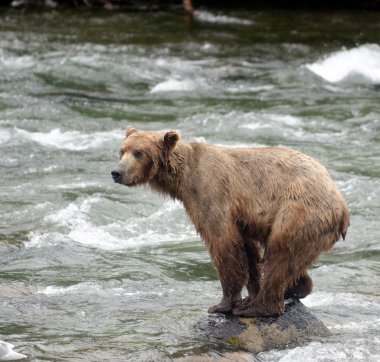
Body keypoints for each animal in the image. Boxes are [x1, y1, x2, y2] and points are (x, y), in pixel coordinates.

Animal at [111, 128, 348, 316]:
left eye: (139, 153)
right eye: (122, 151)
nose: (116, 172)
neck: (182, 178)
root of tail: (342, 206)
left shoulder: (212, 192)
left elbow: (223, 243)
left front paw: (223, 304)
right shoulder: (241, 217)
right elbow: (247, 250)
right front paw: (249, 293)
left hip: (299, 210)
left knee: (280, 253)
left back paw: (260, 307)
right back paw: (295, 288)